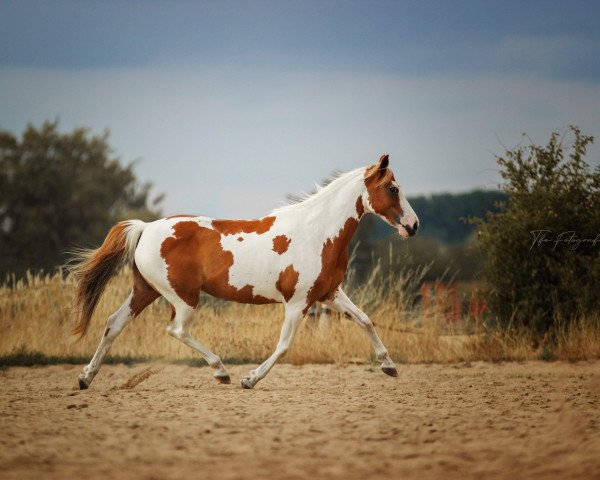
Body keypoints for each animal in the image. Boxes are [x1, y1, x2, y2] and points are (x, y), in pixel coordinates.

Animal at [72, 155, 420, 390]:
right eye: (392, 188)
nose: (413, 225)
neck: (317, 232)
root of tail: (145, 228)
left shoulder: (328, 294)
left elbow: (365, 320)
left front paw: (389, 366)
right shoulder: (297, 302)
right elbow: (284, 345)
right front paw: (250, 379)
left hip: (145, 290)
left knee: (113, 324)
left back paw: (86, 378)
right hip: (182, 297)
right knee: (176, 330)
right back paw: (221, 371)